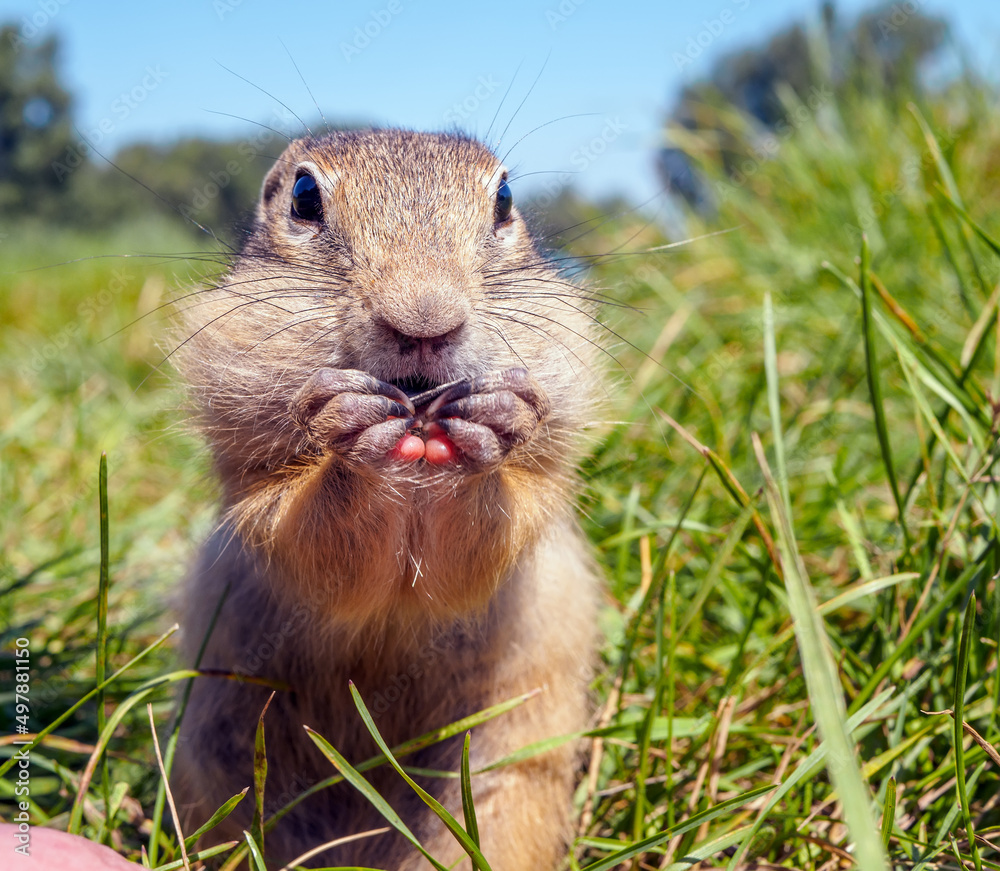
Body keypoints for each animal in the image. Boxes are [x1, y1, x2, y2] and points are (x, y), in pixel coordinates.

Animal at [174, 129, 600, 871]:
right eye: (304, 197)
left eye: (505, 199)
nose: (426, 321)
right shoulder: (249, 462)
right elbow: (307, 539)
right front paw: (350, 429)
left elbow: (489, 538)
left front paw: (494, 422)